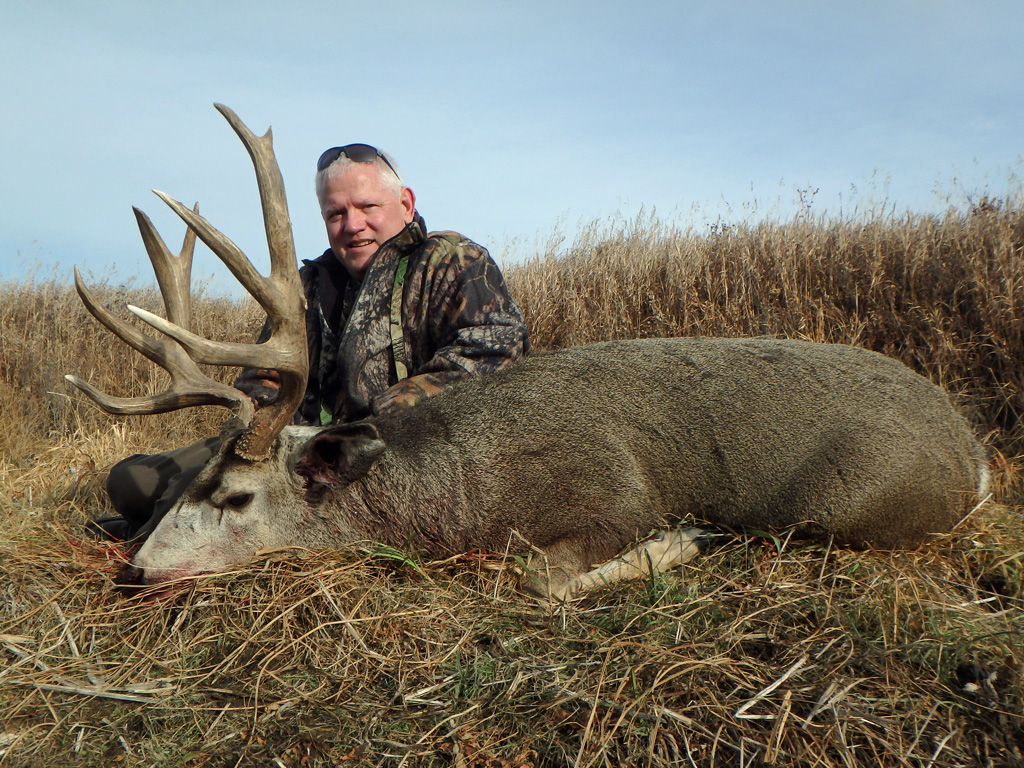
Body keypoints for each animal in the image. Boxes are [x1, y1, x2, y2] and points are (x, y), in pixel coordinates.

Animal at [64, 105, 991, 606]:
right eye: (191, 482)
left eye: (235, 498)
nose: (137, 571)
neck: (457, 487)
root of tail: (971, 449)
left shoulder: (613, 492)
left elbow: (538, 579)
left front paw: (684, 543)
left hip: (850, 502)